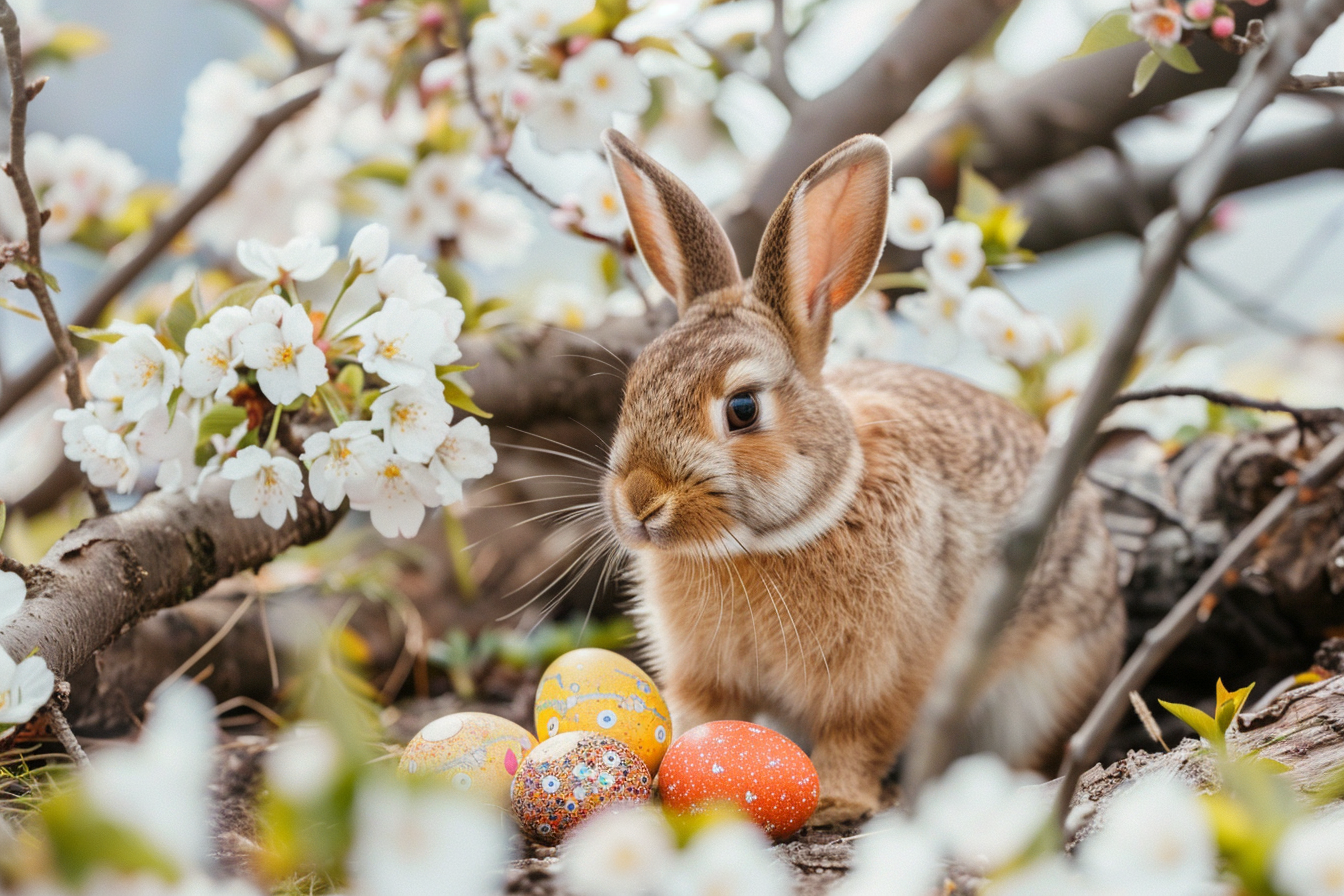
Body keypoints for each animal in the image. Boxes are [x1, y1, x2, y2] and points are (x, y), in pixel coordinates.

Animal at [598, 128, 1125, 826]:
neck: (765, 543)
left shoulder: (884, 673)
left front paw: (836, 802)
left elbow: (859, 735)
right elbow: (706, 724)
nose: (640, 502)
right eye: (633, 387)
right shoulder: (706, 676)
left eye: (743, 409)